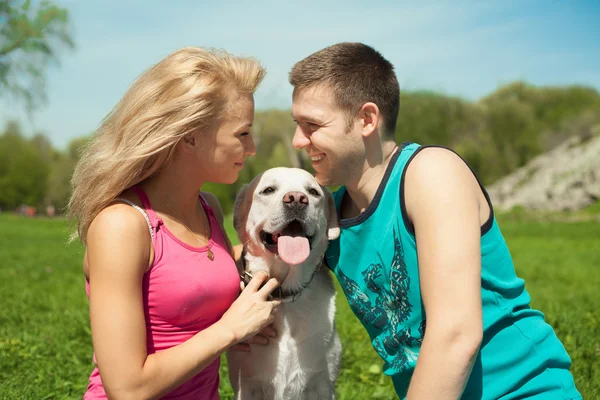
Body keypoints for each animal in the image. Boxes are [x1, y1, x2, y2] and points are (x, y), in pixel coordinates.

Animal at [227, 167, 342, 398]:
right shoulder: (247, 386)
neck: (285, 294)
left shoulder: (323, 385)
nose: (297, 199)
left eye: (313, 192)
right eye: (268, 190)